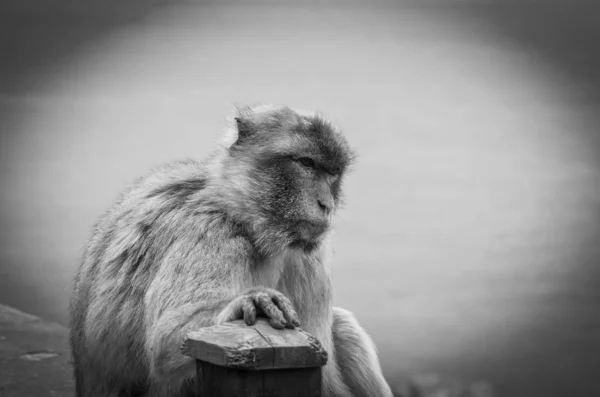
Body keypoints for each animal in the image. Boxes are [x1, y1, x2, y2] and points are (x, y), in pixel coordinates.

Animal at [69, 103, 394, 394]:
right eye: (306, 164)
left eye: (332, 173)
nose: (326, 204)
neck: (246, 221)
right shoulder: (211, 232)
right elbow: (167, 337)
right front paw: (249, 303)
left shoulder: (304, 256)